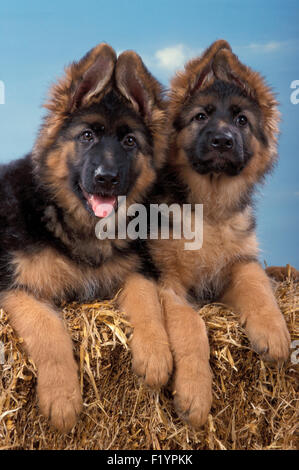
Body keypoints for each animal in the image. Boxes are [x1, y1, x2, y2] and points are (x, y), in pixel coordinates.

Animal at [0, 46, 171, 432]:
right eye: (87, 137)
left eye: (129, 141)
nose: (106, 178)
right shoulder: (15, 286)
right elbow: (46, 327)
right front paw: (62, 399)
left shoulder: (134, 270)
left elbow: (146, 298)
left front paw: (156, 354)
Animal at [149, 40, 292, 428]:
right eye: (201, 116)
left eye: (242, 120)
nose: (222, 141)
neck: (209, 209)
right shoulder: (167, 283)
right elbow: (191, 325)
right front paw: (196, 395)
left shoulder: (239, 262)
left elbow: (258, 284)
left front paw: (274, 331)